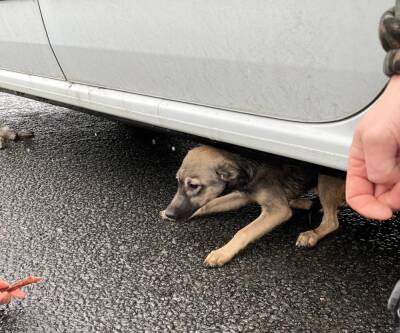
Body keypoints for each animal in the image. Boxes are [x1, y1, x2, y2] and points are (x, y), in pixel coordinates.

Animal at [161, 146, 346, 268]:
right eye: (177, 181)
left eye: (193, 185)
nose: (170, 213)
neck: (246, 164)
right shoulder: (243, 195)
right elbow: (210, 204)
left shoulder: (277, 210)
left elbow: (243, 232)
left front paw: (223, 252)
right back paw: (303, 203)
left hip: (326, 178)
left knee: (332, 221)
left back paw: (312, 234)